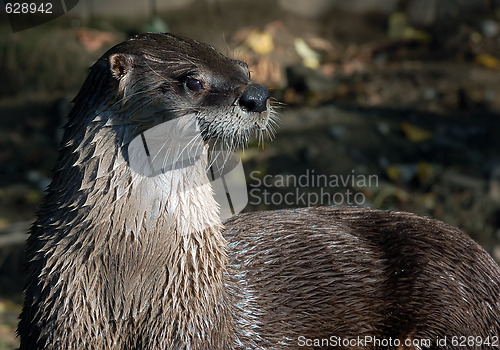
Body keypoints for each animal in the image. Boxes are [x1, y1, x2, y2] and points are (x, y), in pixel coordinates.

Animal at [18, 33, 500, 350]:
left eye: (245, 69)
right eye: (193, 81)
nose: (258, 95)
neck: (134, 265)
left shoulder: (192, 327)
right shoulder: (63, 311)